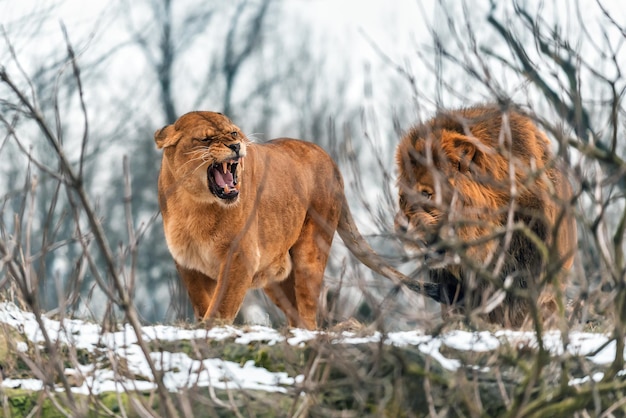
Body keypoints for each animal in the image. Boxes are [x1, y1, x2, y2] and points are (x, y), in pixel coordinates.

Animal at [156, 111, 438, 330]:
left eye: (234, 133)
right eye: (206, 139)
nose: (236, 146)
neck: (196, 206)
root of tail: (328, 158)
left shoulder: (240, 255)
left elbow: (222, 303)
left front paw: (209, 329)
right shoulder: (188, 262)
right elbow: (203, 302)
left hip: (311, 249)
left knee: (309, 314)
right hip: (275, 275)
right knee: (296, 313)